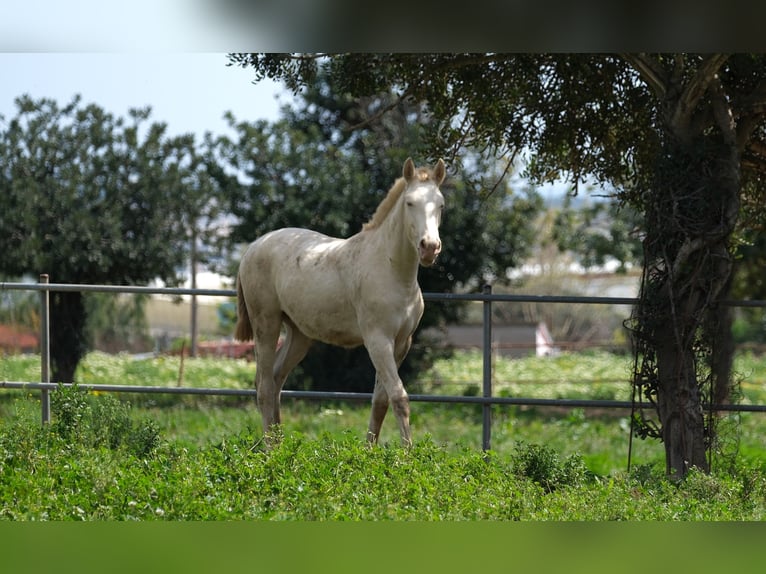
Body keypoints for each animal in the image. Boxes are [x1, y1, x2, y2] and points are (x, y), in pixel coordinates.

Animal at [235, 157, 446, 446]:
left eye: (441, 204)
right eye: (409, 203)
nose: (429, 247)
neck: (391, 270)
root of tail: (253, 247)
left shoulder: (402, 342)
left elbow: (381, 400)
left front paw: (370, 451)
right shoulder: (377, 339)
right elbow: (399, 397)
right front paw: (409, 454)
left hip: (299, 334)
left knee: (276, 380)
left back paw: (281, 445)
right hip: (266, 324)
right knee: (265, 386)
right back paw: (271, 449)